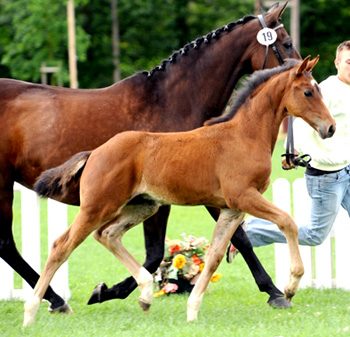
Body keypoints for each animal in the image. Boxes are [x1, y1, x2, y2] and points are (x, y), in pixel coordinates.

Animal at [0, 2, 296, 312]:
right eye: (287, 43)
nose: (305, 74)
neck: (170, 101)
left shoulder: (210, 192)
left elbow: (238, 239)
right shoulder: (186, 193)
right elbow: (157, 253)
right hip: (4, 185)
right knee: (7, 244)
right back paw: (55, 300)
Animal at [24, 55, 336, 326]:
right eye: (308, 92)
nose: (331, 128)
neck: (243, 135)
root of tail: (96, 152)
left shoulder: (231, 209)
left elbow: (214, 257)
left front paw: (192, 309)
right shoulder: (244, 196)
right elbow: (287, 222)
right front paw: (291, 285)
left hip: (143, 205)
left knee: (108, 235)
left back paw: (145, 294)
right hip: (97, 207)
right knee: (61, 246)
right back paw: (33, 312)